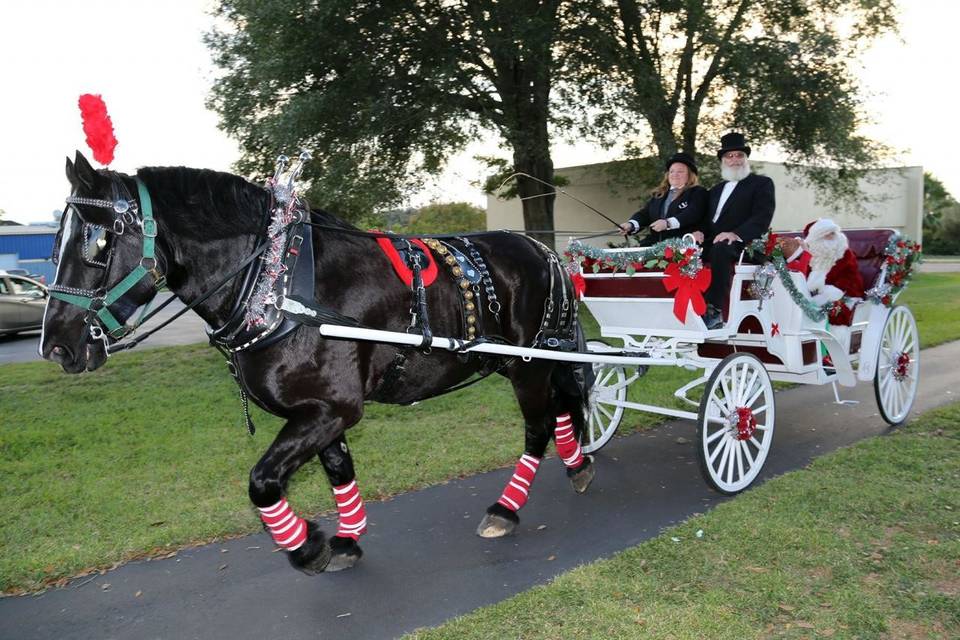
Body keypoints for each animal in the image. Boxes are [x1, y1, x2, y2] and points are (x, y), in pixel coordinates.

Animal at [45, 151, 596, 576]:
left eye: (97, 243)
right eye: (55, 243)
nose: (56, 346)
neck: (278, 284)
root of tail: (542, 247)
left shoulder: (333, 408)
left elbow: (262, 481)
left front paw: (307, 546)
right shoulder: (319, 409)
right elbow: (337, 468)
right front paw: (346, 539)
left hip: (527, 364)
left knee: (538, 426)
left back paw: (507, 508)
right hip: (525, 361)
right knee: (563, 404)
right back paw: (578, 464)